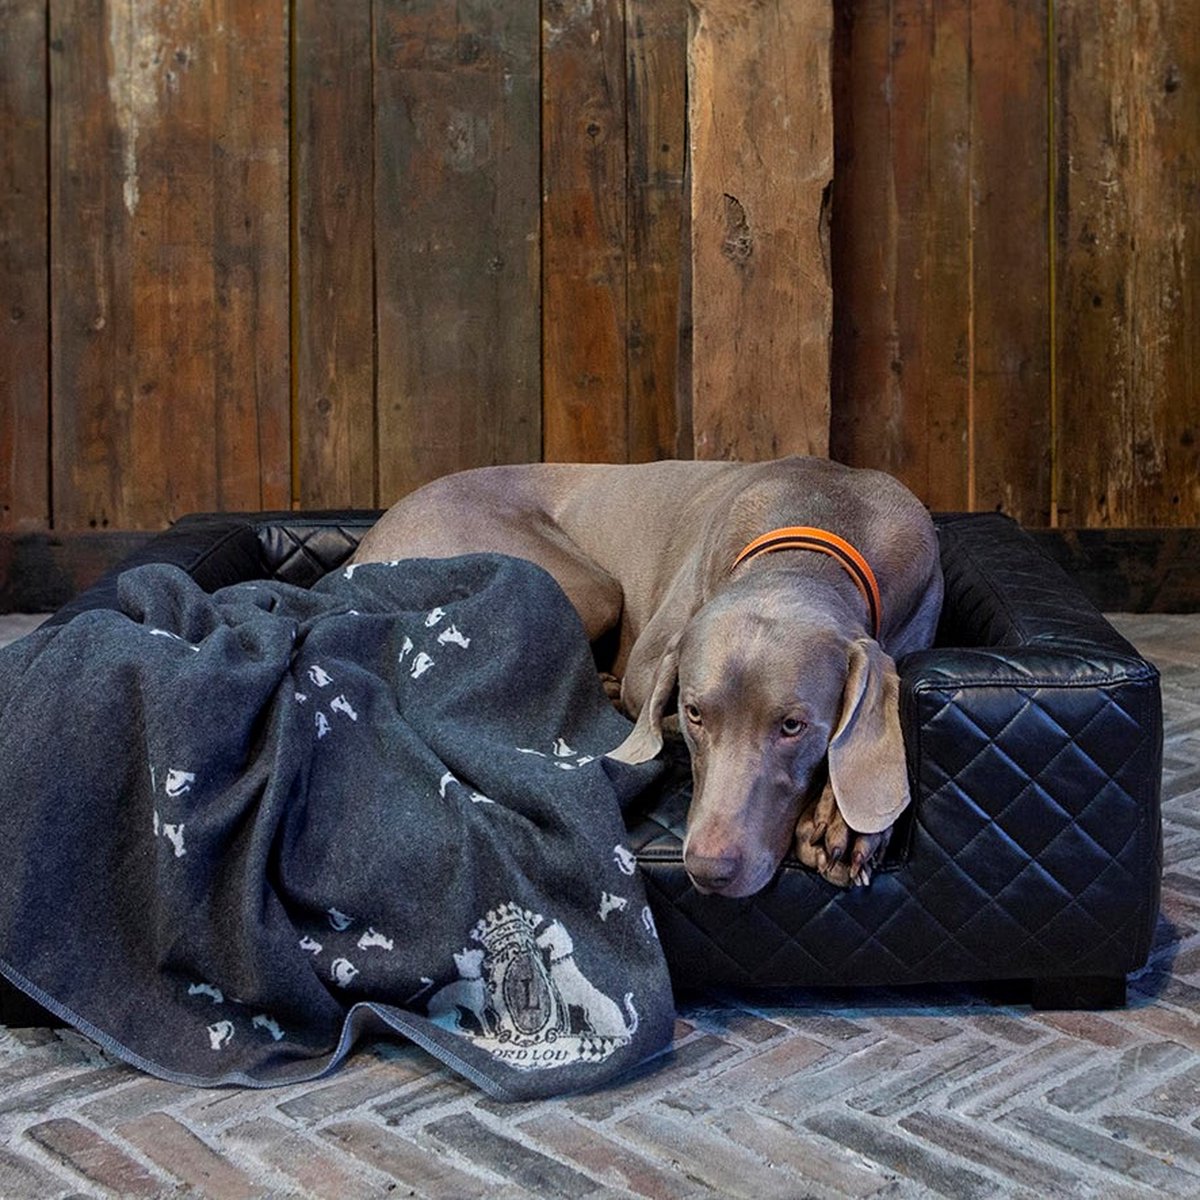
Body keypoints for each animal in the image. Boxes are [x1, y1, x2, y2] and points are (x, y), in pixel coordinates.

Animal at [350, 453, 940, 897]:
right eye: (695, 713)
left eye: (793, 726)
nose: (708, 869)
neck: (815, 529)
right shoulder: (650, 667)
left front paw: (846, 823)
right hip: (588, 585)